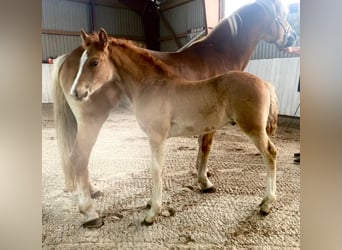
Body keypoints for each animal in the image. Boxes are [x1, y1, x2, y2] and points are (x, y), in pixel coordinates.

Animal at [52, 0, 296, 227]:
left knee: (270, 154)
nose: (76, 92)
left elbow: (157, 169)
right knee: (79, 157)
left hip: (254, 128)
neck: (151, 84)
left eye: (94, 62)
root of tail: (265, 83)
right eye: (82, 62)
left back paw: (267, 203)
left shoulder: (158, 136)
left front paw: (153, 212)